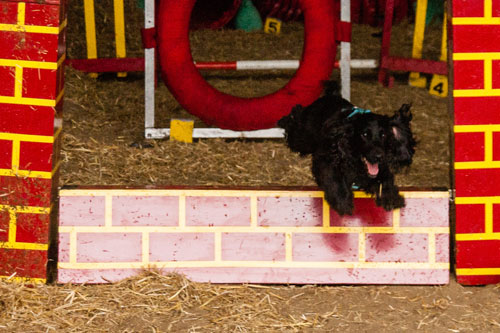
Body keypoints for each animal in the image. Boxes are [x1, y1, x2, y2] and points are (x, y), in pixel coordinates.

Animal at [280, 87, 416, 215]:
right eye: (364, 134)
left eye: (383, 135)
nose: (379, 156)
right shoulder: (326, 158)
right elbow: (334, 179)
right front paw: (343, 202)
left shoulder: (379, 168)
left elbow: (384, 178)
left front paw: (391, 197)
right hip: (303, 137)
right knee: (295, 121)